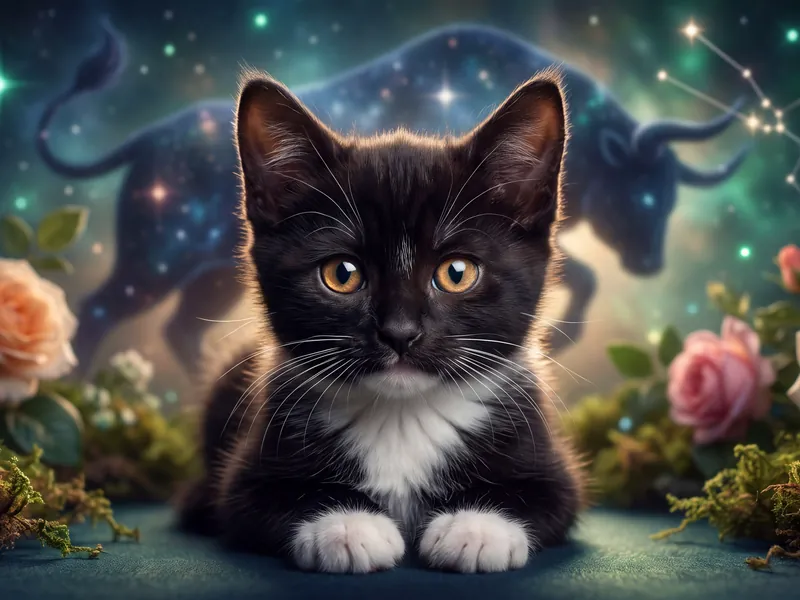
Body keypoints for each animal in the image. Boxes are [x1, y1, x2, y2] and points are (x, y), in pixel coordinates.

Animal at [37, 21, 749, 376]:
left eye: (671, 196)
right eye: (643, 193)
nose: (651, 265)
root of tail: (145, 138)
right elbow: (586, 277)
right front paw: (561, 336)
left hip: (211, 275)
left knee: (180, 328)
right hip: (154, 261)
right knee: (96, 311)